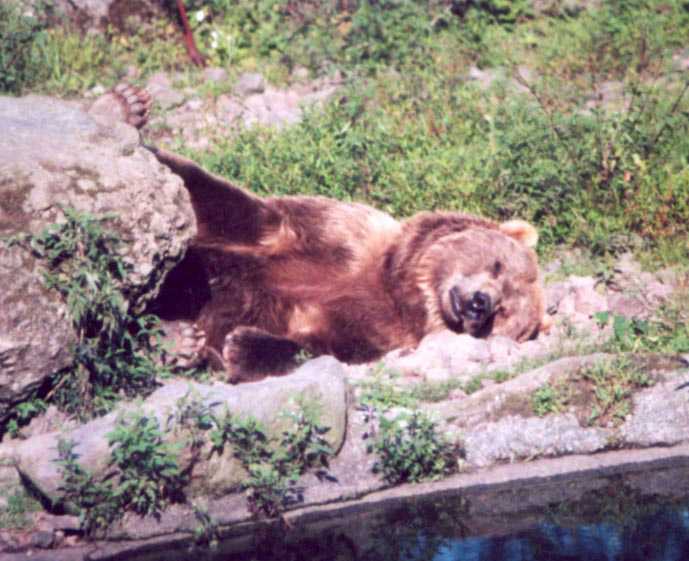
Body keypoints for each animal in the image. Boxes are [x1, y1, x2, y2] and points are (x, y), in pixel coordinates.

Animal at [94, 85, 548, 380]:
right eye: (497, 263)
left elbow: (320, 345)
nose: (479, 304)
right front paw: (125, 111)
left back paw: (179, 341)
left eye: (503, 313)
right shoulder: (338, 238)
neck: (399, 287)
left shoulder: (377, 330)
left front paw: (241, 346)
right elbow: (229, 211)